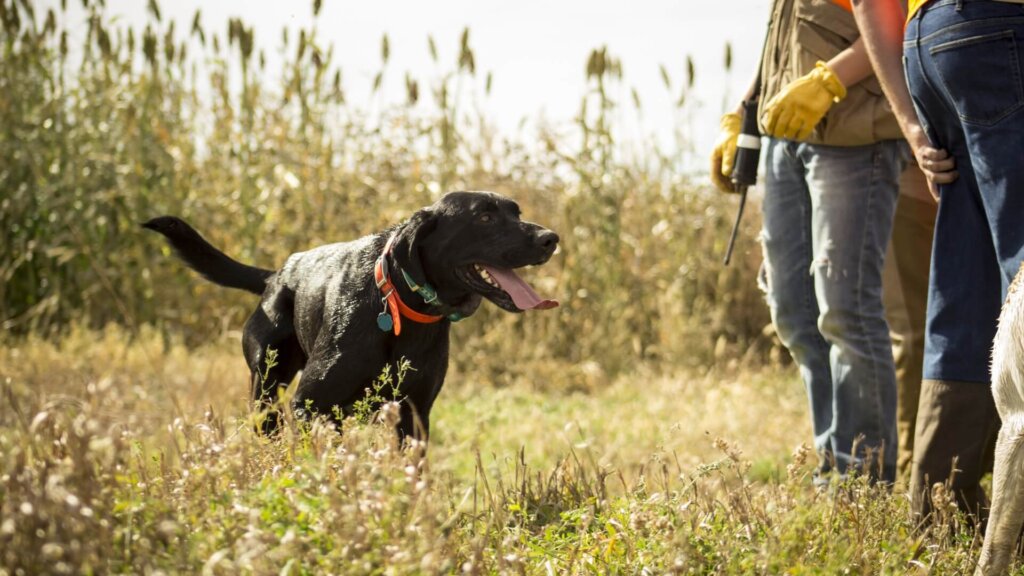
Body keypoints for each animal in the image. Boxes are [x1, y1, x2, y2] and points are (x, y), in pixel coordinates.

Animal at [144, 190, 561, 436]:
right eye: (484, 218)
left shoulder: (415, 414)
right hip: (266, 387)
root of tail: (275, 275)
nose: (551, 239)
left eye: (517, 212)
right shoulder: (310, 406)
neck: (402, 309)